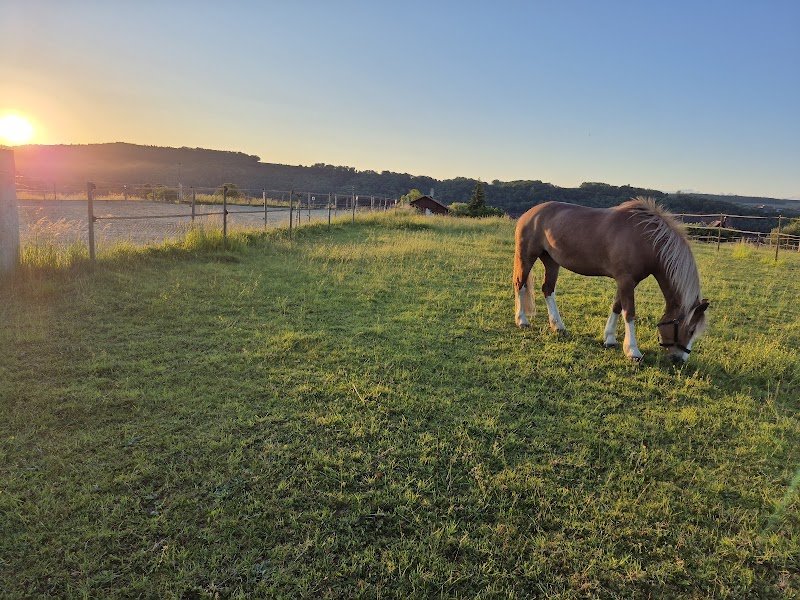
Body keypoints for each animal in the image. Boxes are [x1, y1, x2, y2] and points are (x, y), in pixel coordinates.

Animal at [513, 197, 709, 362]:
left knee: (548, 289)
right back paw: (522, 320)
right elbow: (629, 313)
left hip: (551, 261)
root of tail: (530, 213)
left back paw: (558, 326)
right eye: (691, 330)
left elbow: (617, 307)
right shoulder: (626, 280)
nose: (681, 360)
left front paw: (610, 339)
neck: (645, 239)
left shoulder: (627, 282)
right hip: (527, 257)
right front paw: (633, 351)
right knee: (520, 285)